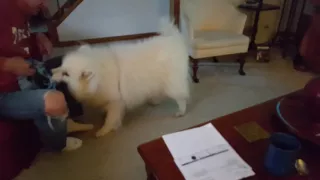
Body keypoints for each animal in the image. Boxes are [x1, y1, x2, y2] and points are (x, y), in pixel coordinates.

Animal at [51, 19, 189, 137]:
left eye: (66, 74)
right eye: (61, 65)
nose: (51, 71)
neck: (98, 78)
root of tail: (174, 39)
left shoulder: (116, 102)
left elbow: (110, 119)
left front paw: (103, 131)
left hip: (173, 84)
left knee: (181, 98)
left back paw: (180, 111)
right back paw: (155, 101)